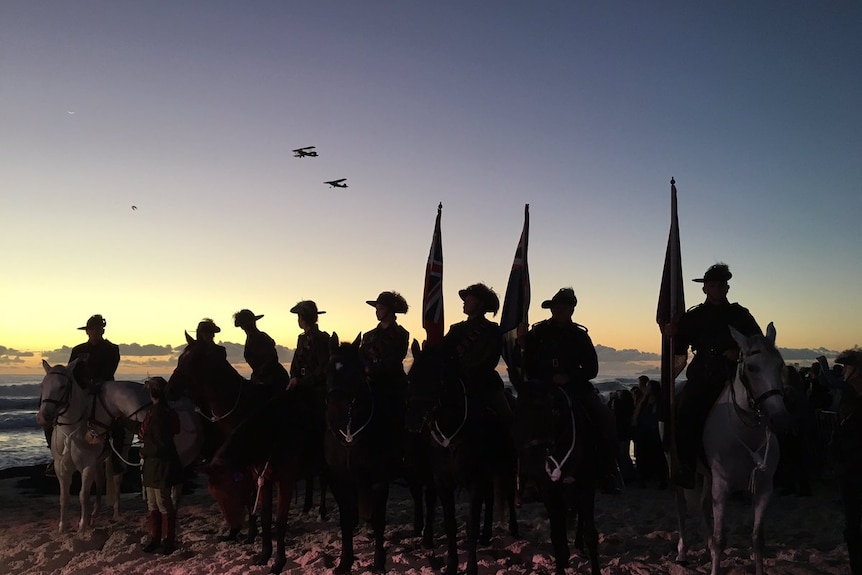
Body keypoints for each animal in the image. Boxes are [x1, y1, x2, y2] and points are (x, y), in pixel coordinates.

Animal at [37, 360, 112, 532]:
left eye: (63, 386)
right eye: (43, 385)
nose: (44, 416)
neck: (71, 432)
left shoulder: (87, 466)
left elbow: (83, 495)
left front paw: (82, 525)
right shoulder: (61, 468)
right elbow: (64, 497)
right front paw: (62, 525)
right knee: (100, 479)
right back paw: (95, 513)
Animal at [169, 332, 310, 575]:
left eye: (190, 360)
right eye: (179, 358)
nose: (168, 389)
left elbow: (248, 497)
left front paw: (250, 534)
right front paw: (241, 533)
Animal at [406, 342, 520, 575]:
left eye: (436, 379)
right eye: (411, 378)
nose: (413, 422)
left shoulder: (475, 481)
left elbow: (471, 525)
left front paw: (472, 567)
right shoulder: (443, 483)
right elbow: (451, 524)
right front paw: (451, 565)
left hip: (506, 466)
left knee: (508, 492)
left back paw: (513, 528)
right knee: (490, 497)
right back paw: (487, 535)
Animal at [512, 382, 600, 575]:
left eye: (555, 411)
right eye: (520, 410)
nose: (533, 463)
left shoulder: (586, 488)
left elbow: (591, 534)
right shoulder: (550, 493)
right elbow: (557, 539)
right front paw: (562, 563)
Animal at [676, 324, 796, 575]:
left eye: (779, 364)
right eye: (751, 367)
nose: (780, 420)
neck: (746, 431)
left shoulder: (763, 488)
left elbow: (757, 538)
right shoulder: (722, 488)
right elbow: (721, 539)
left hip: (707, 476)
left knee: (703, 506)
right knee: (681, 508)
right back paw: (682, 553)